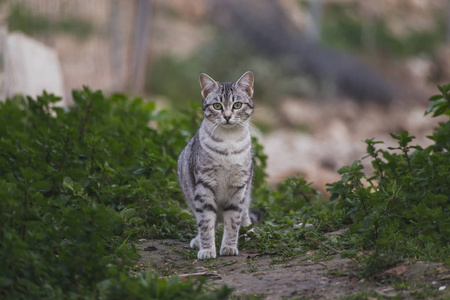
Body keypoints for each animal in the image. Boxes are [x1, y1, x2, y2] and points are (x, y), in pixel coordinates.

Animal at [177, 71, 260, 258]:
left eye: (237, 105)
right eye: (217, 106)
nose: (227, 116)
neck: (228, 143)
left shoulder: (239, 187)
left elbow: (233, 221)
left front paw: (229, 246)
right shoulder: (204, 186)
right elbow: (206, 222)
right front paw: (207, 249)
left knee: (244, 215)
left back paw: (248, 232)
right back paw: (198, 241)